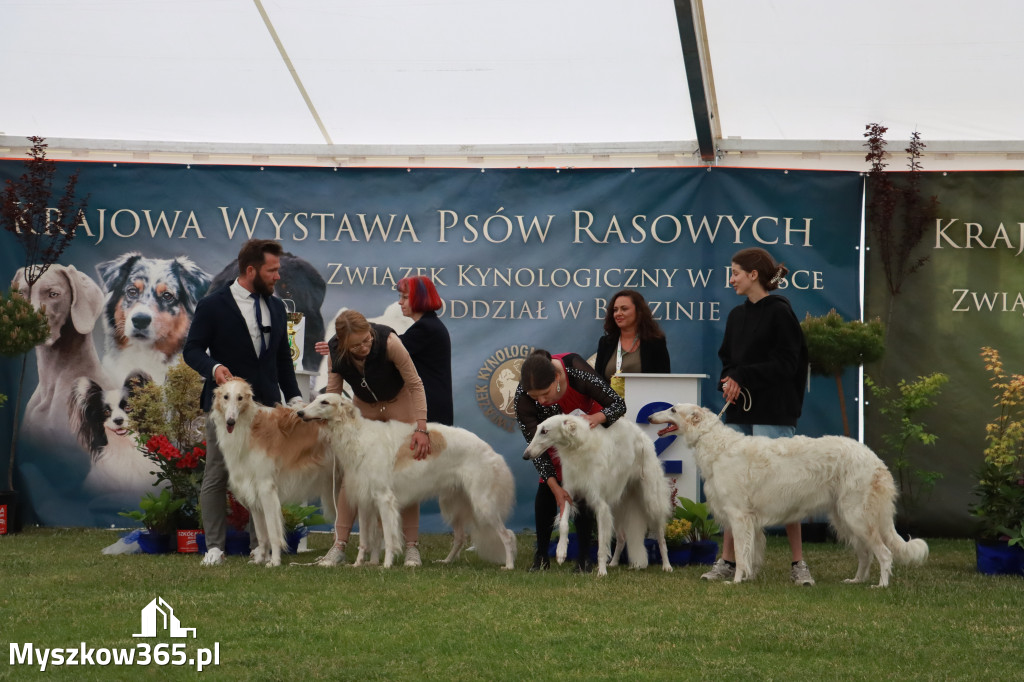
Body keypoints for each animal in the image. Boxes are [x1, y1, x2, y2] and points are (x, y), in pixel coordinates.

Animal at [207, 378, 335, 565]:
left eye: (240, 398)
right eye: (225, 397)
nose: (230, 421)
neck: (250, 428)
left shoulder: (266, 488)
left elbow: (273, 533)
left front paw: (274, 561)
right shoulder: (252, 491)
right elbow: (262, 536)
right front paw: (260, 559)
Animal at [296, 391, 520, 565]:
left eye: (325, 402)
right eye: (315, 400)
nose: (299, 412)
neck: (359, 436)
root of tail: (491, 451)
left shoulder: (385, 499)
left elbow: (388, 537)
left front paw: (385, 565)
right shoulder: (365, 501)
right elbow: (366, 541)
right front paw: (362, 564)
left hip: (483, 504)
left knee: (508, 535)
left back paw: (508, 565)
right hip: (454, 504)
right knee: (460, 537)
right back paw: (446, 561)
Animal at [524, 411, 675, 577]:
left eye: (544, 431)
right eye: (537, 429)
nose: (525, 455)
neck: (578, 446)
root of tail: (644, 436)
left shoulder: (600, 504)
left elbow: (602, 544)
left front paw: (601, 571)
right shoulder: (568, 492)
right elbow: (563, 523)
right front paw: (561, 552)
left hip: (651, 500)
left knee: (661, 538)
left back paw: (667, 565)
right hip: (617, 506)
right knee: (622, 538)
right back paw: (613, 563)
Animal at [651, 403, 933, 585]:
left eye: (673, 410)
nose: (652, 416)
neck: (716, 444)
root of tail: (875, 460)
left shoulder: (738, 515)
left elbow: (741, 555)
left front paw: (736, 581)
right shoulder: (745, 518)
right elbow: (751, 552)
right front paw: (748, 577)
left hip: (857, 517)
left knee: (884, 553)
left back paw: (881, 585)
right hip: (844, 517)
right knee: (866, 554)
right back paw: (856, 580)